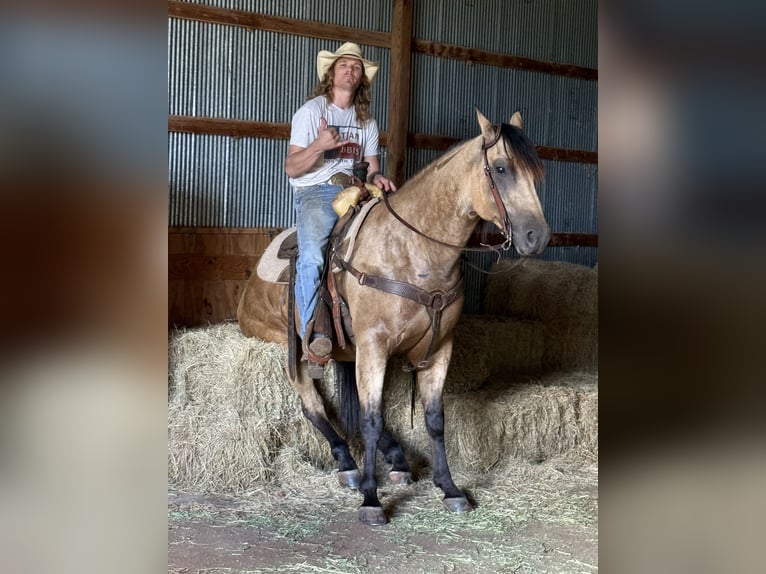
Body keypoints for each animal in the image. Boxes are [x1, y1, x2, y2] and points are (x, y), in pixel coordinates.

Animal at [238, 109, 549, 525]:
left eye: (537, 173)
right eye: (500, 168)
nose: (537, 236)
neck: (413, 252)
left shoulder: (439, 348)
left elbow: (433, 419)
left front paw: (450, 489)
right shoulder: (374, 344)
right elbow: (370, 420)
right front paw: (371, 500)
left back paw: (397, 460)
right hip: (295, 350)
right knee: (314, 406)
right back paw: (348, 464)